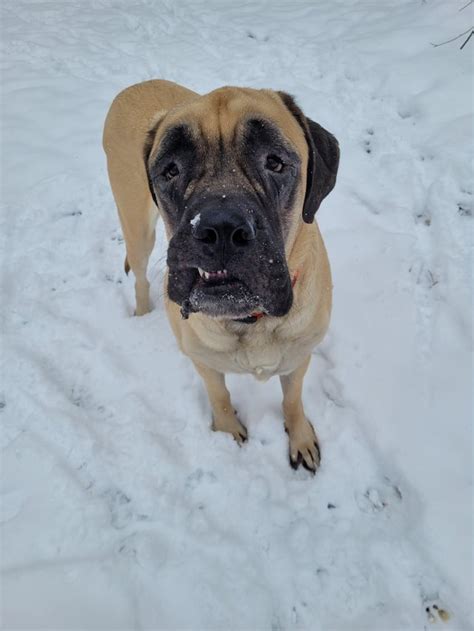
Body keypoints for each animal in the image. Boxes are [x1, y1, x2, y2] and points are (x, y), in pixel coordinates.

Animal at [104, 80, 340, 474]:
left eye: (275, 162)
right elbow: (220, 394)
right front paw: (228, 430)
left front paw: (300, 438)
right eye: (170, 170)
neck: (251, 322)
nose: (220, 228)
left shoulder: (298, 357)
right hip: (137, 226)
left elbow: (292, 399)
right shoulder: (203, 361)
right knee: (139, 277)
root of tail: (134, 86)